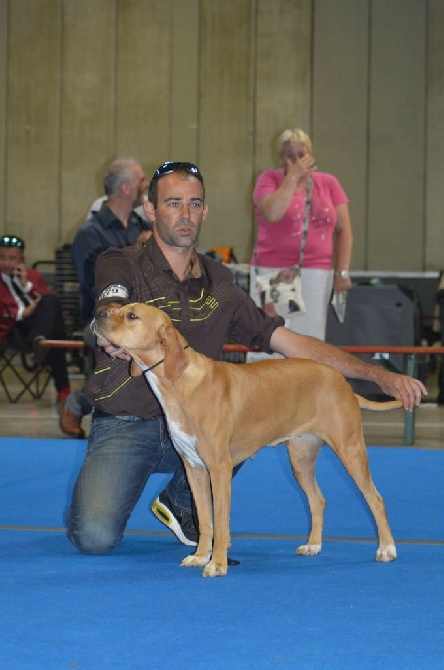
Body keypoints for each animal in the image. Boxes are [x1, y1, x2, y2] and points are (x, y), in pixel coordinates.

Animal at [93, 304, 402, 576]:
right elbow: (205, 520)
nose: (98, 313)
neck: (179, 382)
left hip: (350, 449)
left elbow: (220, 522)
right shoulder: (193, 469)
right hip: (300, 459)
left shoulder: (219, 468)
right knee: (318, 500)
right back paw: (313, 545)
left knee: (375, 499)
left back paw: (387, 548)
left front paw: (217, 564)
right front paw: (200, 556)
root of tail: (341, 381)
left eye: (132, 315)